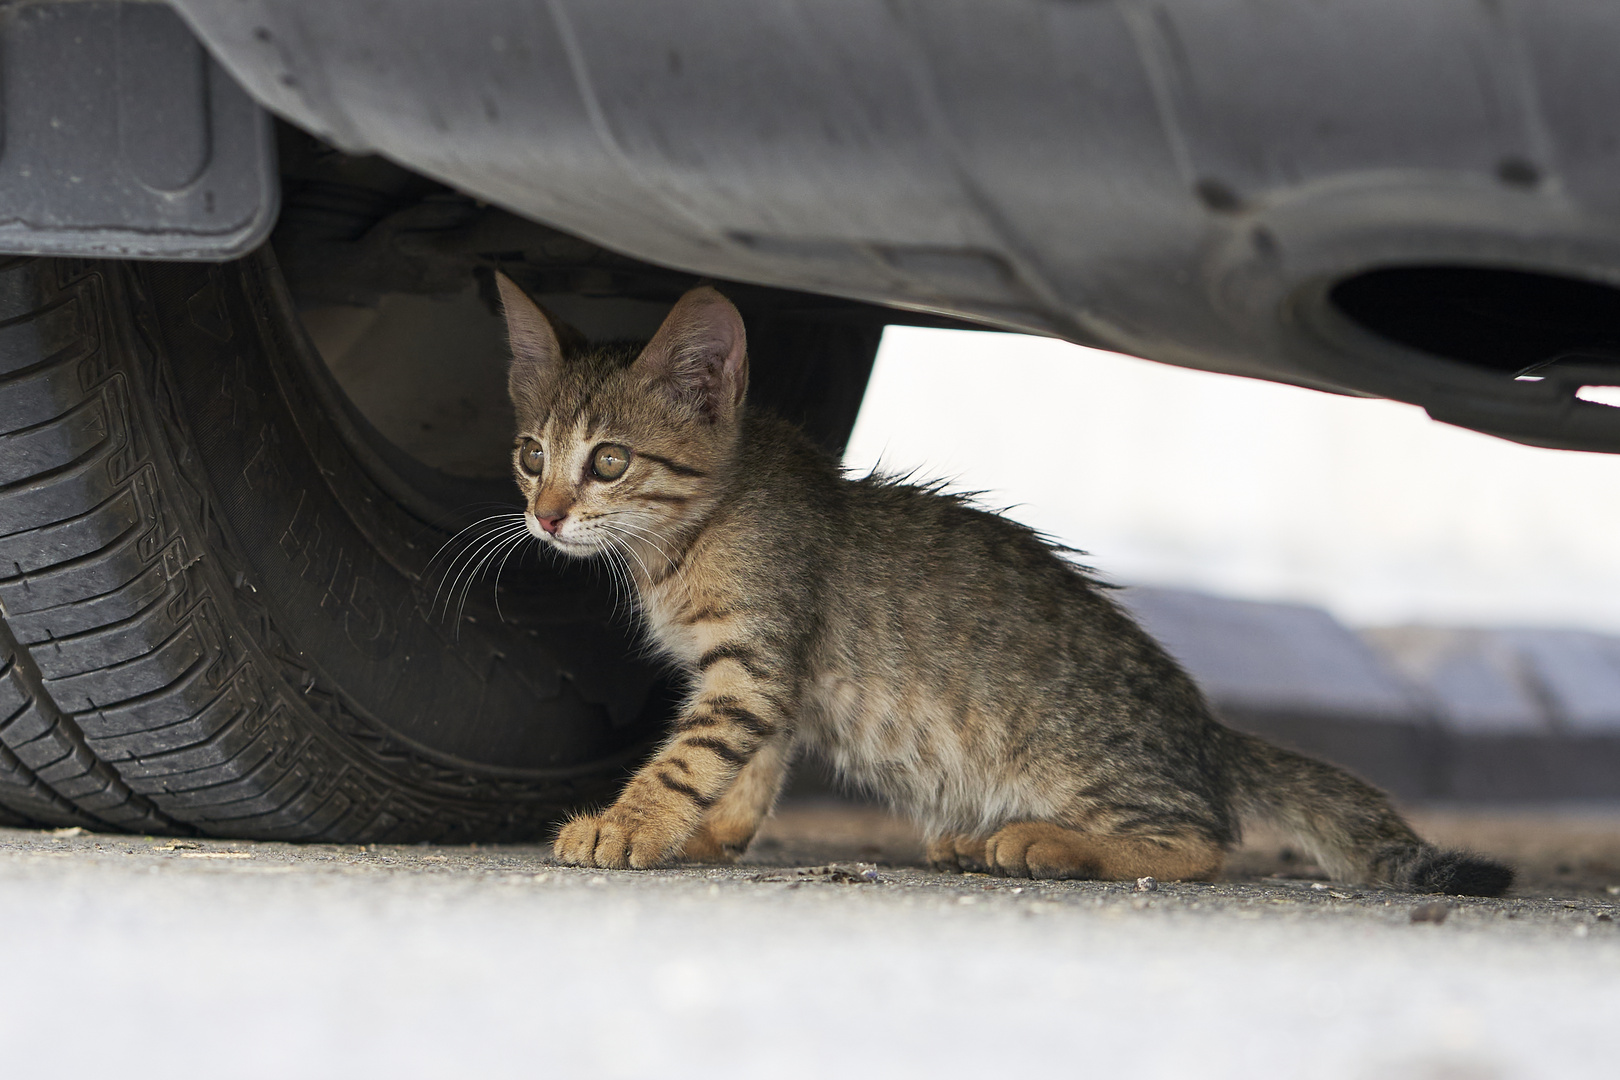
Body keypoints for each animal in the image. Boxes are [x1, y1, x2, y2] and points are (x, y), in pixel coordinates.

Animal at [498, 276, 1509, 893]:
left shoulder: (756, 658)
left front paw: (630, 823)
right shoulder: (768, 679)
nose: (544, 516)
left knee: (1200, 842)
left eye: (611, 461)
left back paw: (1043, 840)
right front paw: (711, 832)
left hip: (1078, 757)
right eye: (531, 454)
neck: (693, 528)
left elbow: (693, 754)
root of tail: (1208, 732)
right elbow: (751, 766)